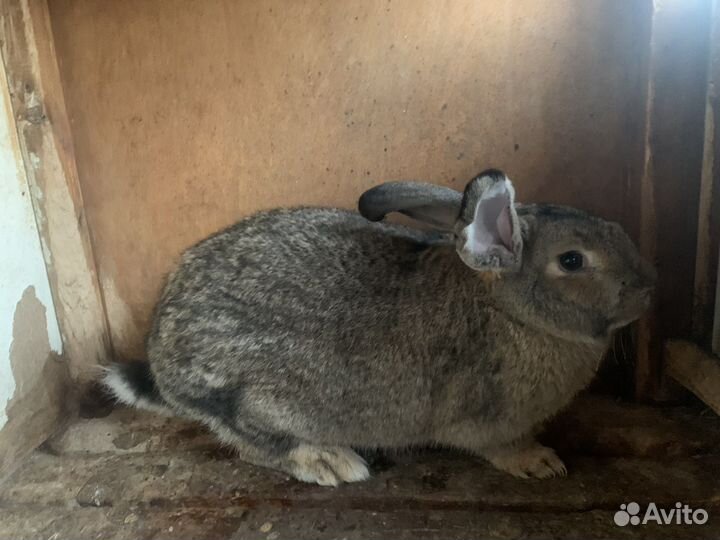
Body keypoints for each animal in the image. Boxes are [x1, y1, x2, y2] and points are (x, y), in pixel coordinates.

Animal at [104, 168, 655, 486]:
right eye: (572, 260)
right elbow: (501, 447)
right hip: (252, 399)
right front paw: (540, 463)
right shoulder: (488, 421)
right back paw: (330, 463)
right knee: (255, 445)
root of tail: (163, 359)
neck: (510, 310)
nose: (648, 288)